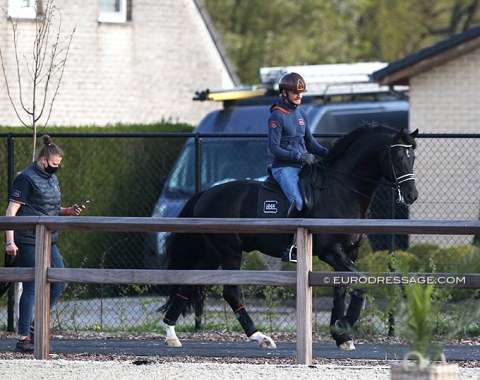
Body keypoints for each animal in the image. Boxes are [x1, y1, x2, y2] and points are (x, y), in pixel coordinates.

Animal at [159, 124, 418, 350]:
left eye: (412, 157)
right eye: (397, 158)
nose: (411, 195)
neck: (341, 189)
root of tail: (205, 193)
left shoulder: (349, 252)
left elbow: (340, 289)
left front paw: (341, 335)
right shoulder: (331, 252)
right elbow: (361, 282)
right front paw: (344, 325)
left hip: (213, 253)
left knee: (189, 282)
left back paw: (171, 333)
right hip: (229, 251)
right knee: (231, 292)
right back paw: (260, 336)